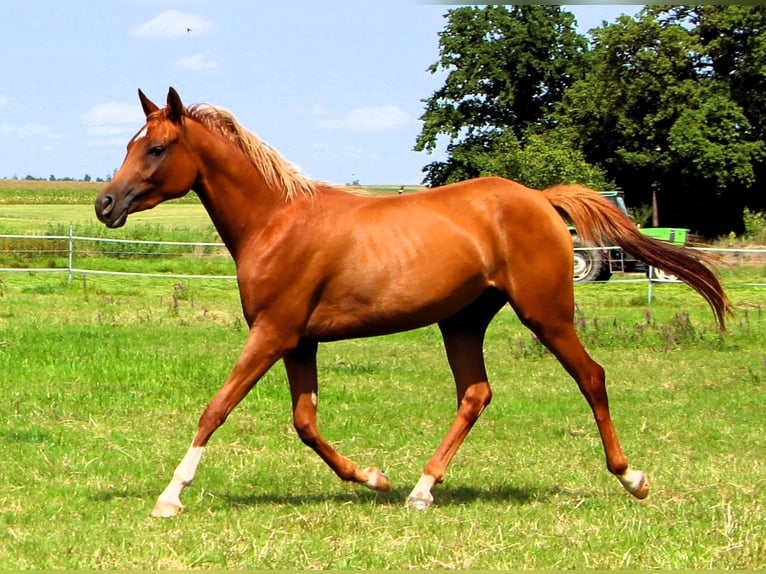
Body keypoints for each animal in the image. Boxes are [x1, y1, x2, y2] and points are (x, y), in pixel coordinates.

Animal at [94, 88, 730, 518]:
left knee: (591, 378)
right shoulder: (299, 341)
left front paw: (170, 495)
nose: (105, 204)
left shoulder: (272, 334)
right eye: (128, 144)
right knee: (475, 393)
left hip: (546, 315)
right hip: (463, 322)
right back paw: (422, 490)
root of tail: (541, 200)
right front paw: (375, 478)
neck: (278, 221)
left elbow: (217, 408)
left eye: (157, 148)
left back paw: (632, 478)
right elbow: (305, 423)